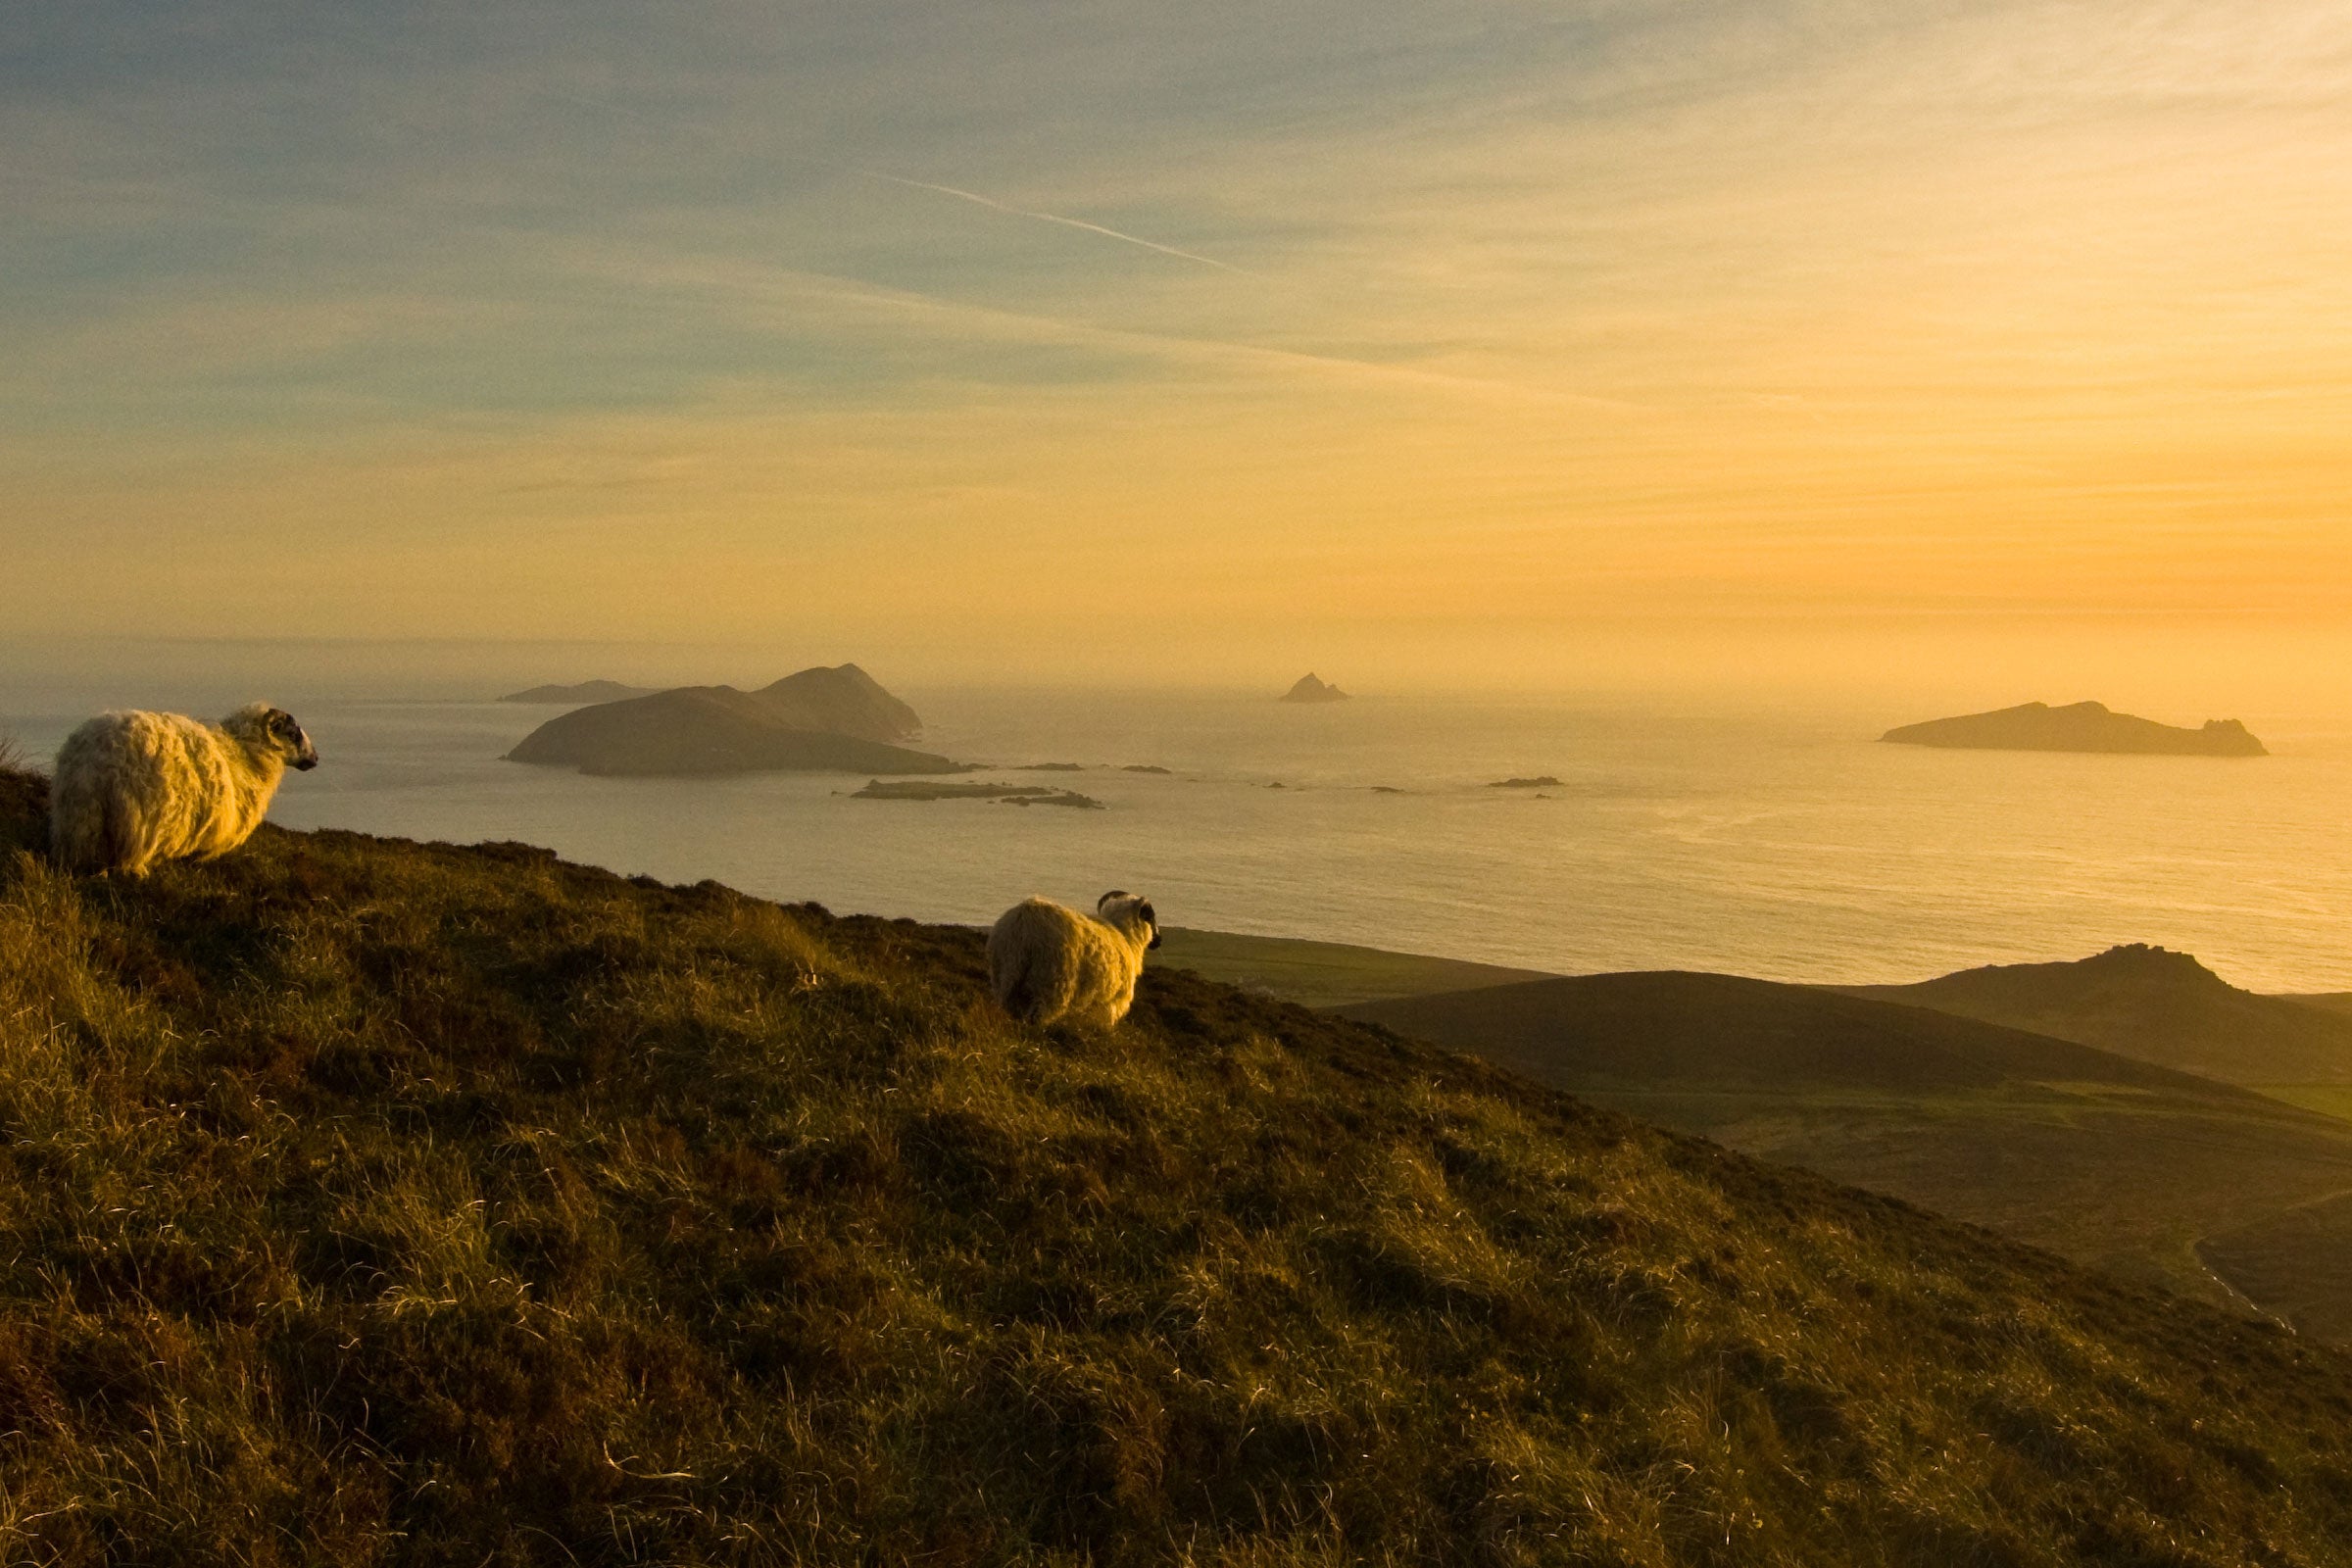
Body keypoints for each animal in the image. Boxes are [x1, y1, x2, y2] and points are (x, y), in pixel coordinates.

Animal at [50, 703, 319, 876]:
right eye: (294, 734)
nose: (315, 758)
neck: (244, 753)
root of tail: (92, 763)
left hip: (82, 824)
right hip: (134, 826)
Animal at [988, 890, 1162, 1028]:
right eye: (1151, 917)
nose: (1159, 941)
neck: (1125, 935)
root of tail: (1024, 924)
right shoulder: (1112, 1002)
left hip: (1004, 978)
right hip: (1053, 985)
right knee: (1038, 1017)